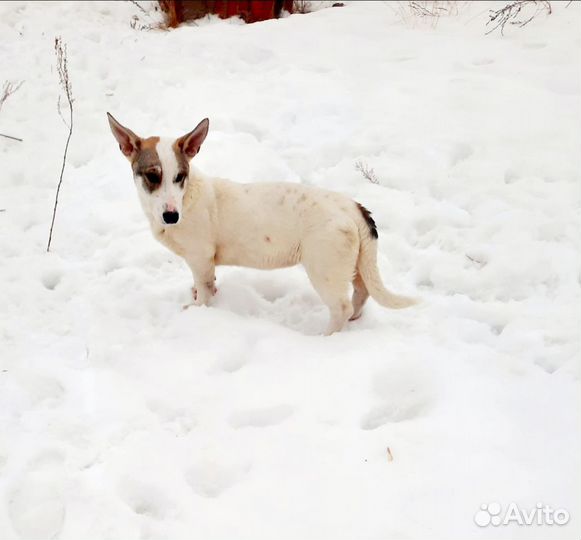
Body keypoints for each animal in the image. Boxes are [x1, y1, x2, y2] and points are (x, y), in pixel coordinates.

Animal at [106, 113, 414, 334]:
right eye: (152, 176)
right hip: (357, 263)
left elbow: (204, 291)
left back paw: (326, 337)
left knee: (341, 306)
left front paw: (198, 310)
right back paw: (355, 320)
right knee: (362, 293)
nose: (171, 216)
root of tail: (352, 207)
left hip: (325, 268)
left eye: (179, 176)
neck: (187, 197)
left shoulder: (200, 257)